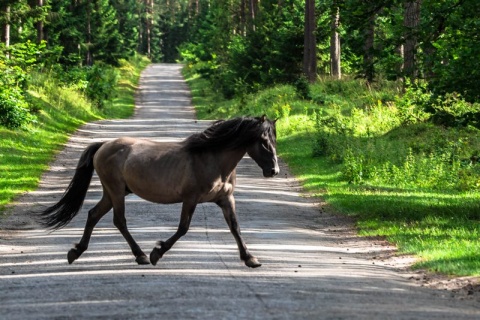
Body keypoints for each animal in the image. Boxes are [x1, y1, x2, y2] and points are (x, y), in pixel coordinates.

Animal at [39, 115, 280, 268]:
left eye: (274, 139)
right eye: (262, 140)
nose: (274, 170)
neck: (211, 158)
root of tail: (104, 145)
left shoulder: (226, 199)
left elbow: (235, 228)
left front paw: (250, 258)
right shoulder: (190, 199)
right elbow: (183, 228)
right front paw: (157, 252)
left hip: (111, 192)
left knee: (93, 215)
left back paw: (76, 252)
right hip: (116, 191)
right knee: (119, 221)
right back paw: (142, 255)